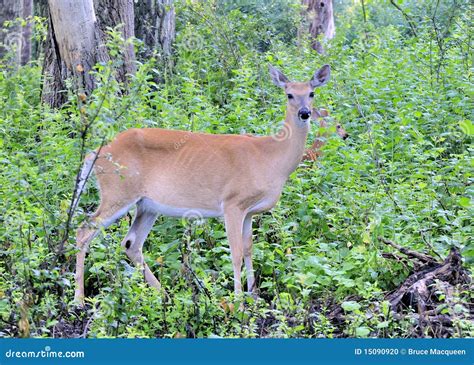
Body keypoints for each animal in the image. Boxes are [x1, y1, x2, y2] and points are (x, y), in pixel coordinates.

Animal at [74, 63, 332, 304]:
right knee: (83, 231)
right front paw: (238, 301)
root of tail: (95, 154)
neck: (270, 157)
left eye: (311, 93)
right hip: (118, 191)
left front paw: (254, 296)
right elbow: (236, 252)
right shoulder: (232, 202)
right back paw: (79, 299)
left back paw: (164, 295)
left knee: (130, 243)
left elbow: (249, 248)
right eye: (289, 94)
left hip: (146, 205)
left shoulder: (250, 211)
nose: (305, 113)